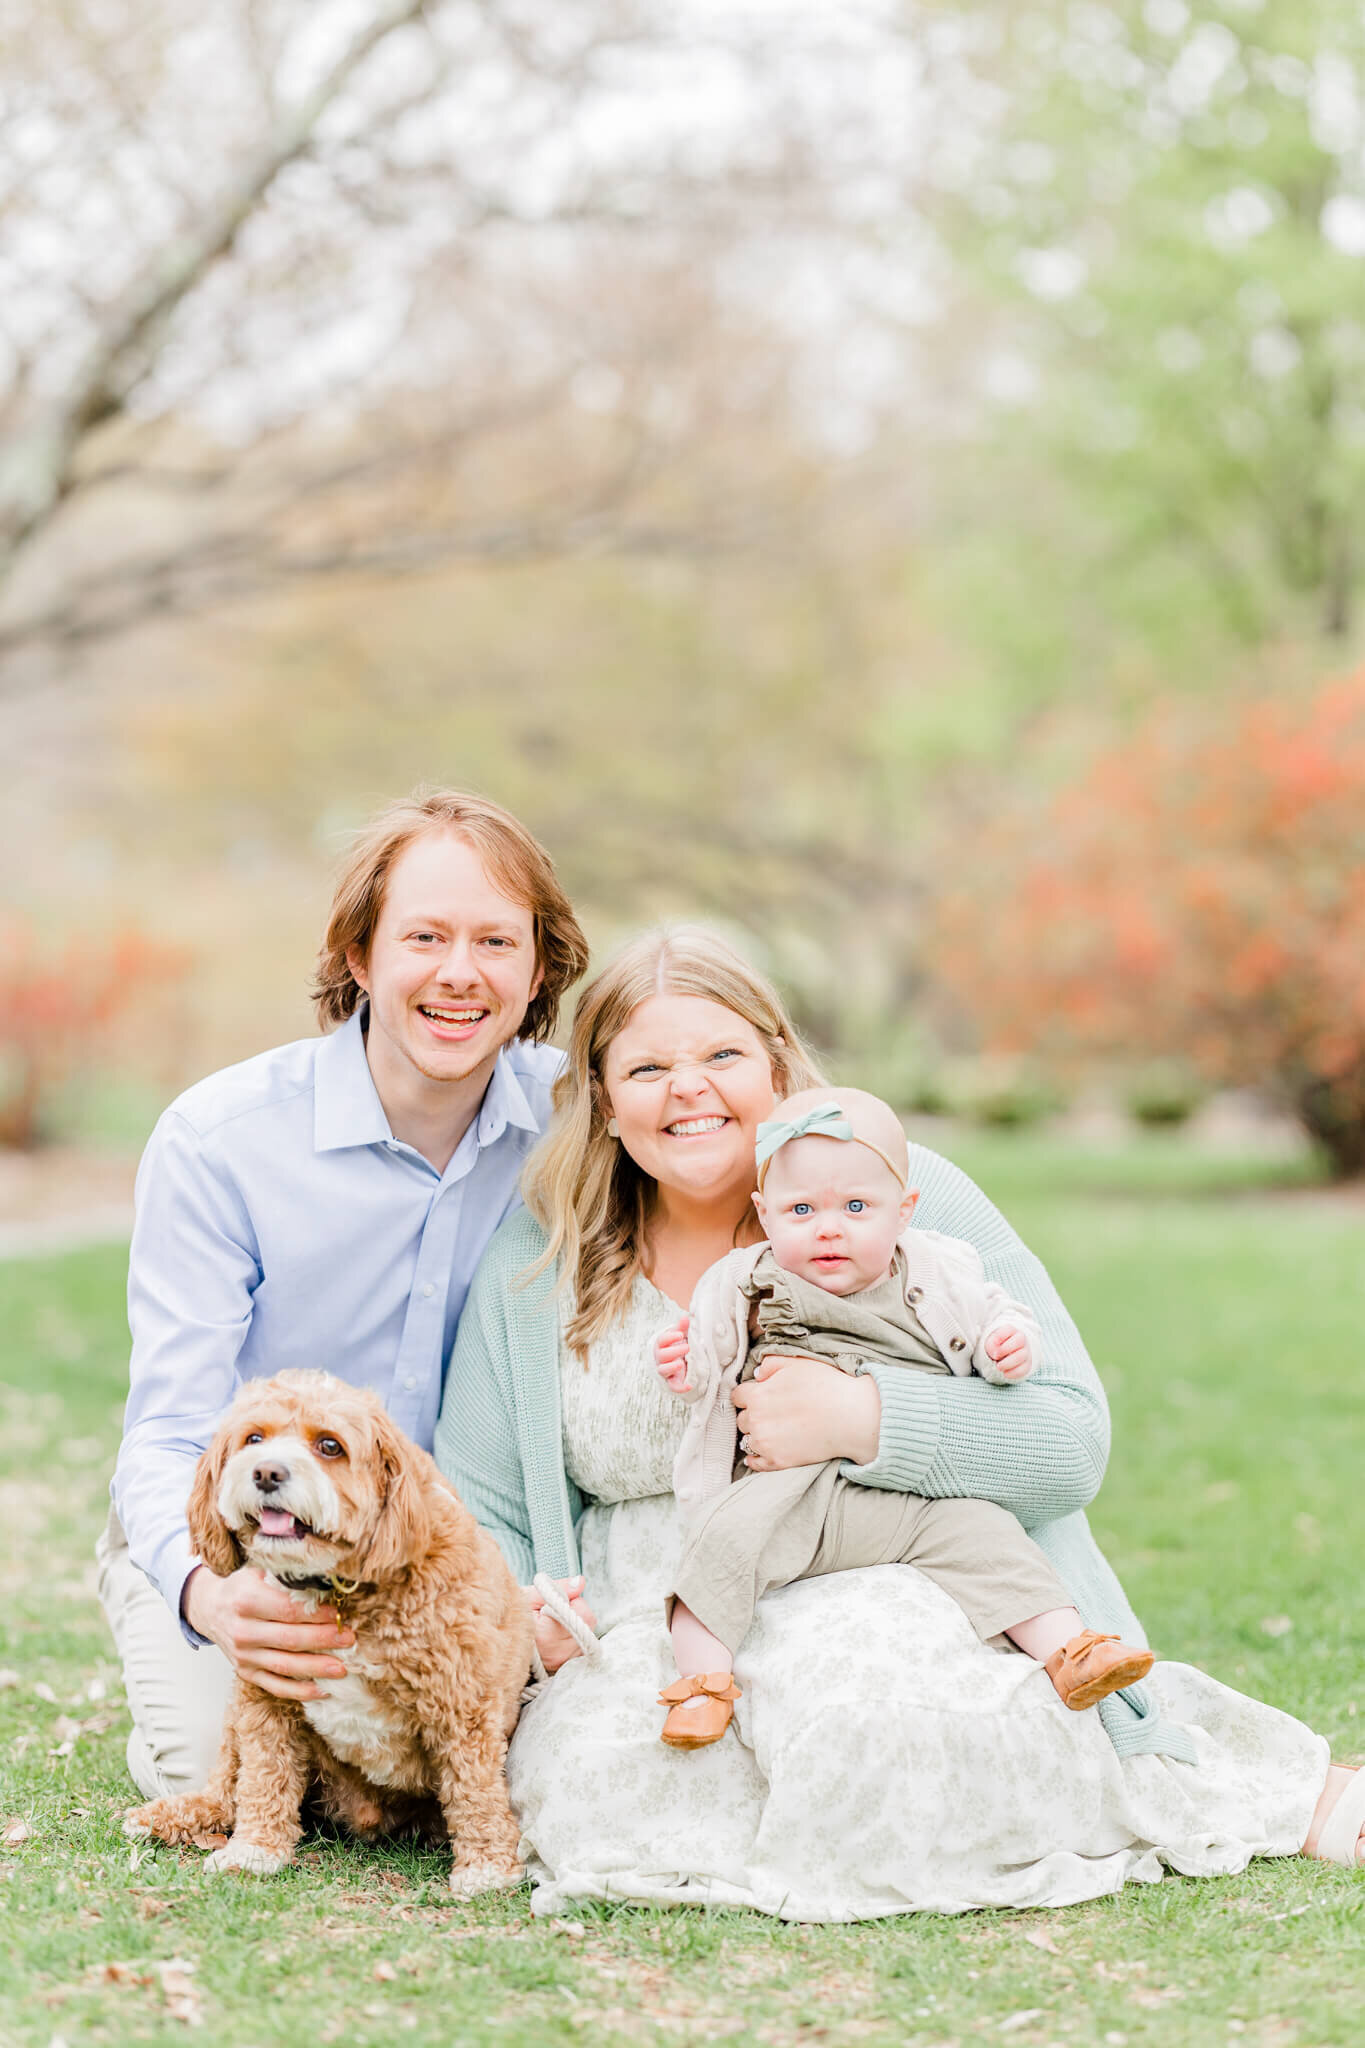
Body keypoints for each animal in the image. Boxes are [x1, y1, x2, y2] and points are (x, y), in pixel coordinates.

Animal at [126, 1376, 532, 1900]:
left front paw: (486, 1867)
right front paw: (253, 1851)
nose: (266, 1472)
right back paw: (174, 1815)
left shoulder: (462, 1706)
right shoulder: (267, 1698)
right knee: (226, 1788)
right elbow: (263, 1776)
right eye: (253, 1438)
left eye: (329, 1446)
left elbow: (474, 1787)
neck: (338, 1589)